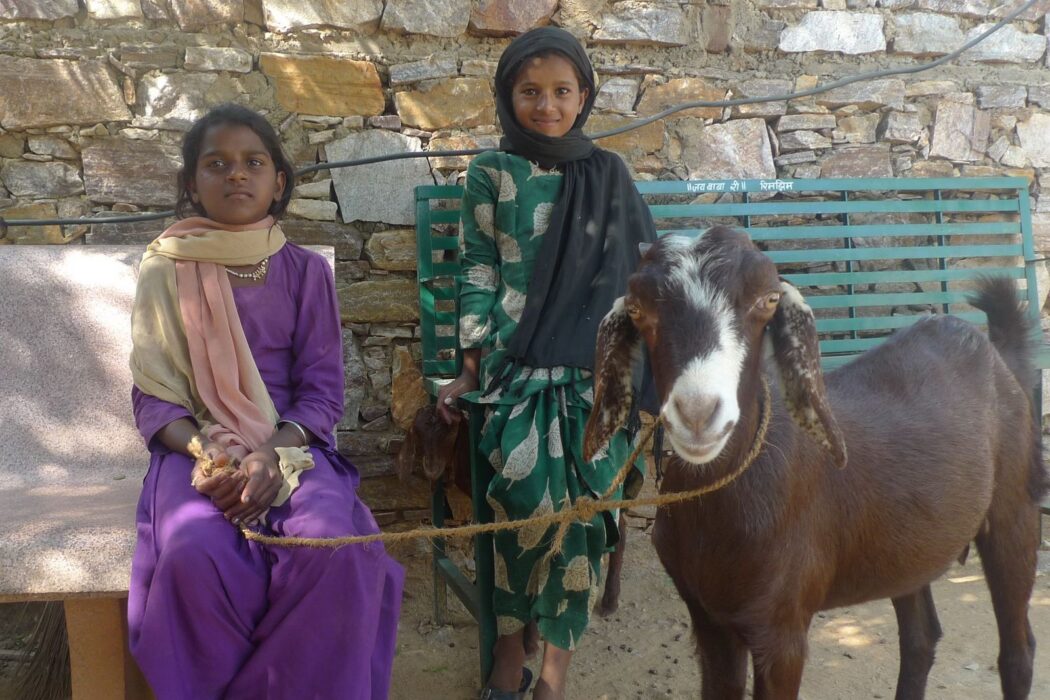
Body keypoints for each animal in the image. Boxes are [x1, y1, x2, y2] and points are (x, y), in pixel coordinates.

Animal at [583, 227, 1041, 696]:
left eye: (768, 299)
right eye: (637, 308)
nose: (697, 414)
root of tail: (989, 348)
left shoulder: (782, 627)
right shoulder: (707, 619)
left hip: (1014, 506)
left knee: (1017, 650)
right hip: (909, 543)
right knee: (921, 637)